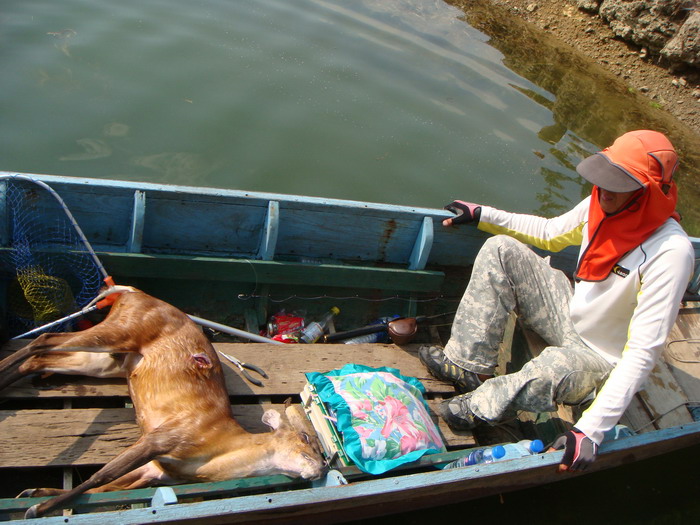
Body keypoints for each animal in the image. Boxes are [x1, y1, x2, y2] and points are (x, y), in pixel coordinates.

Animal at [0, 286, 326, 520]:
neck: (216, 449)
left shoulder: (157, 470)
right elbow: (101, 475)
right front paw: (38, 509)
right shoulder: (164, 437)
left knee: (40, 356)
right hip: (122, 331)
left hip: (109, 361)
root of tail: (130, 292)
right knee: (43, 339)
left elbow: (109, 485)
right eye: (305, 437)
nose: (323, 466)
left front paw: (33, 493)